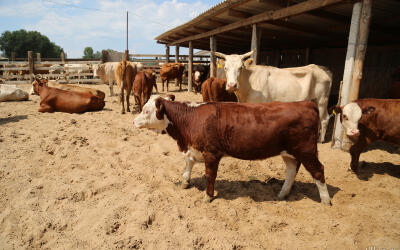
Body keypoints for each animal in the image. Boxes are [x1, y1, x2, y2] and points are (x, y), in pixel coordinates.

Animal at [134, 94, 332, 204]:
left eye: (146, 111)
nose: (134, 121)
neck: (190, 120)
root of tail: (306, 103)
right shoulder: (193, 149)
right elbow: (187, 166)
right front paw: (184, 183)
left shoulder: (211, 153)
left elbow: (210, 175)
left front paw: (208, 196)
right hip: (290, 152)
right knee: (292, 170)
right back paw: (282, 194)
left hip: (306, 150)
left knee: (318, 171)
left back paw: (325, 201)